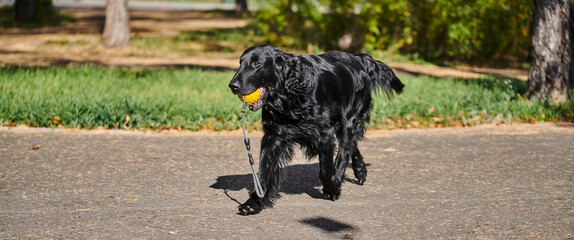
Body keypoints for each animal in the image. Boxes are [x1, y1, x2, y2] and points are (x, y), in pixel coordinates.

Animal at [227, 45, 402, 216]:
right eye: (240, 63)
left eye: (256, 63)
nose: (232, 86)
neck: (291, 95)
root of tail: (359, 59)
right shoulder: (273, 136)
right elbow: (263, 171)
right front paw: (253, 203)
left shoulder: (324, 134)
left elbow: (326, 170)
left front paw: (333, 188)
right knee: (352, 146)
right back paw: (360, 171)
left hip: (349, 121)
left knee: (345, 151)